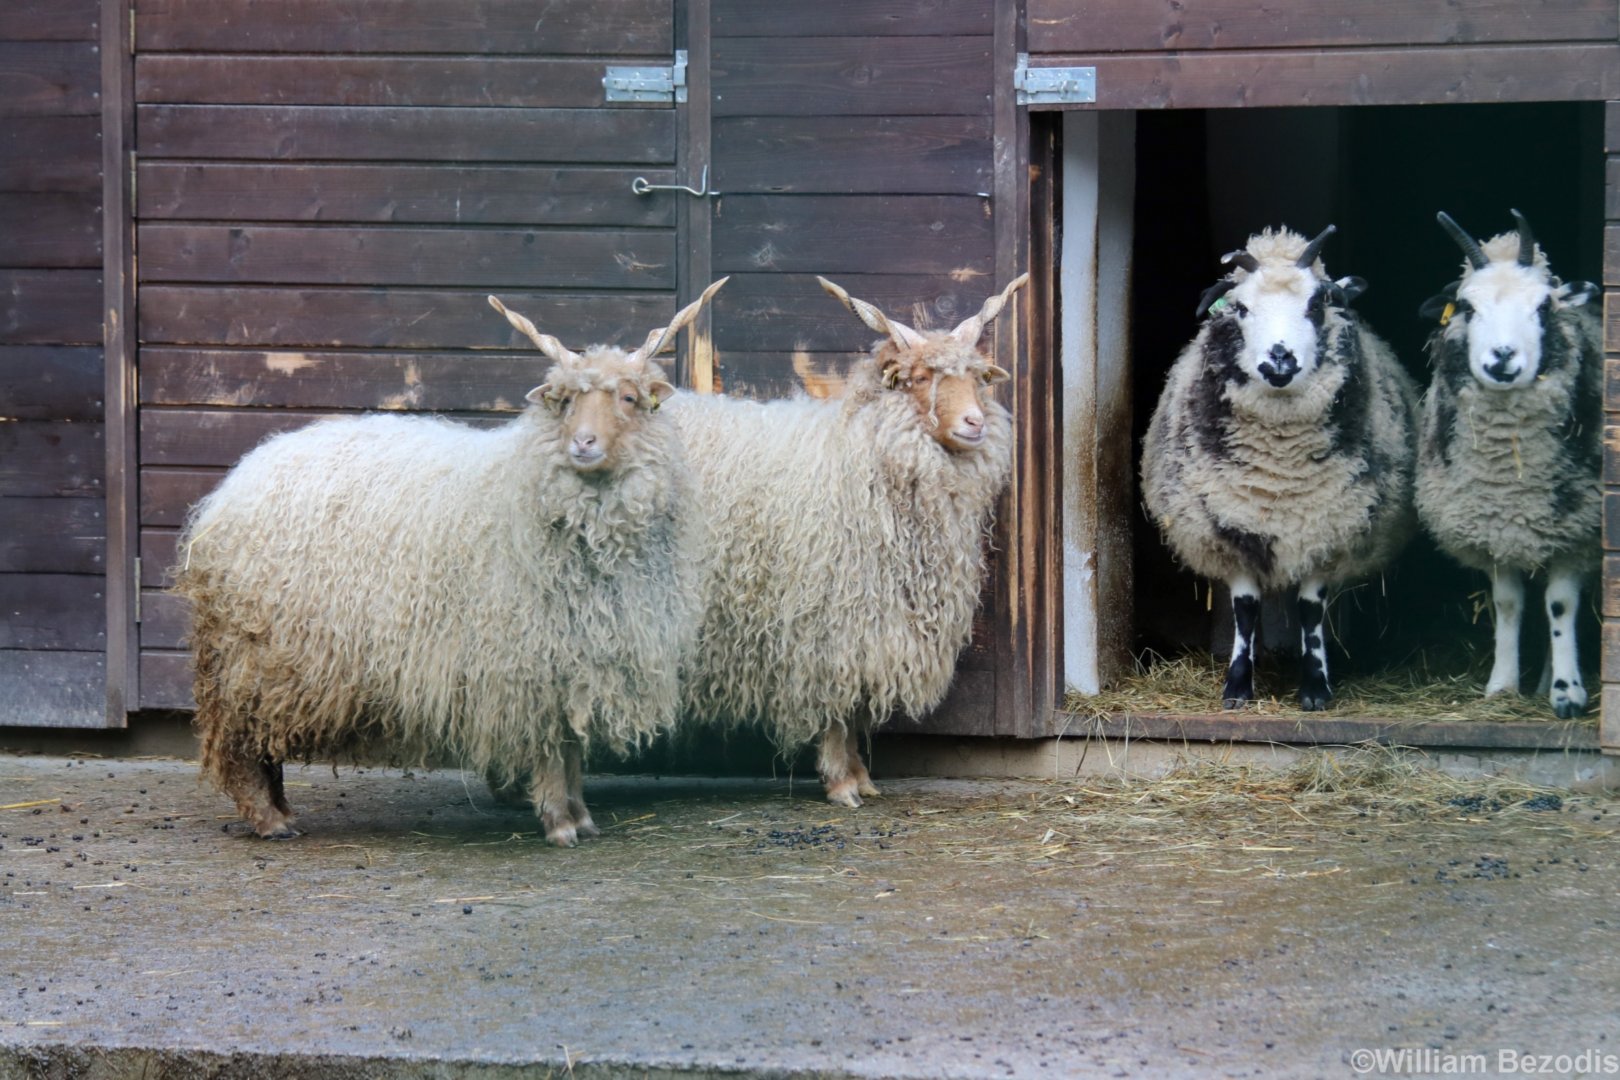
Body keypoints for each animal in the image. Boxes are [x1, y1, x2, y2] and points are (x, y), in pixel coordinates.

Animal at [172, 280, 725, 845]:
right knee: (241, 742)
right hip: (252, 654)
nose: (583, 443)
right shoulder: (531, 655)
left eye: (630, 398)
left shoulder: (577, 654)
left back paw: (280, 811)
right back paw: (270, 819)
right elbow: (553, 746)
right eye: (566, 401)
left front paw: (581, 816)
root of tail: (234, 483)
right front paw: (560, 823)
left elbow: (571, 745)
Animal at [665, 274, 1026, 806]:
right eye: (920, 378)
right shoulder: (834, 618)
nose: (974, 424)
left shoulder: (872, 623)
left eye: (980, 378)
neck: (861, 455)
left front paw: (861, 777)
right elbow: (838, 703)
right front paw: (840, 782)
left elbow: (855, 705)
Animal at [1141, 226, 1419, 710]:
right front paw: (1236, 686)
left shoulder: (1326, 528)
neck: (1280, 473)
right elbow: (1246, 609)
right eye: (1241, 308)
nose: (1278, 362)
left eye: (1316, 304)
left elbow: (1310, 610)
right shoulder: (1231, 527)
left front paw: (1315, 687)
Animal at [1415, 210, 1601, 718]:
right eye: (1466, 306)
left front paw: (1568, 692)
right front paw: (1502, 684)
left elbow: (1560, 605)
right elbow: (1509, 604)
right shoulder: (1494, 527)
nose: (1502, 359)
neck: (1510, 478)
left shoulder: (1576, 531)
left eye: (1544, 308)